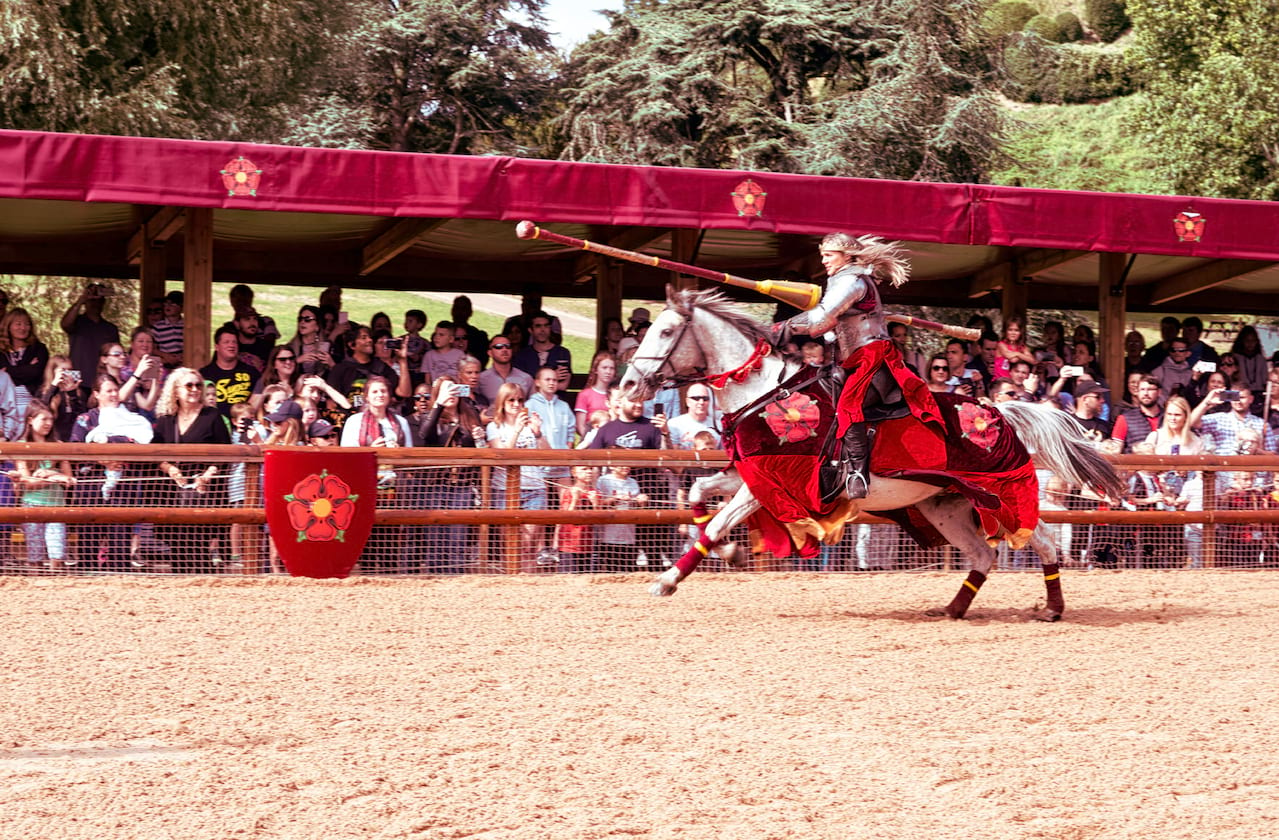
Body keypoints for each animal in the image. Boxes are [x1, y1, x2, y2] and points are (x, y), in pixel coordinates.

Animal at [619, 285, 1120, 618]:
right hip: (945, 506)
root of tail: (997, 411)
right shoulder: (747, 474)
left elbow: (718, 520)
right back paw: (953, 608)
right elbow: (699, 495)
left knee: (1042, 540)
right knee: (984, 555)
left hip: (999, 495)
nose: (627, 387)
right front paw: (731, 554)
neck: (764, 390)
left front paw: (669, 579)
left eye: (666, 331)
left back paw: (1052, 607)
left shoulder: (772, 482)